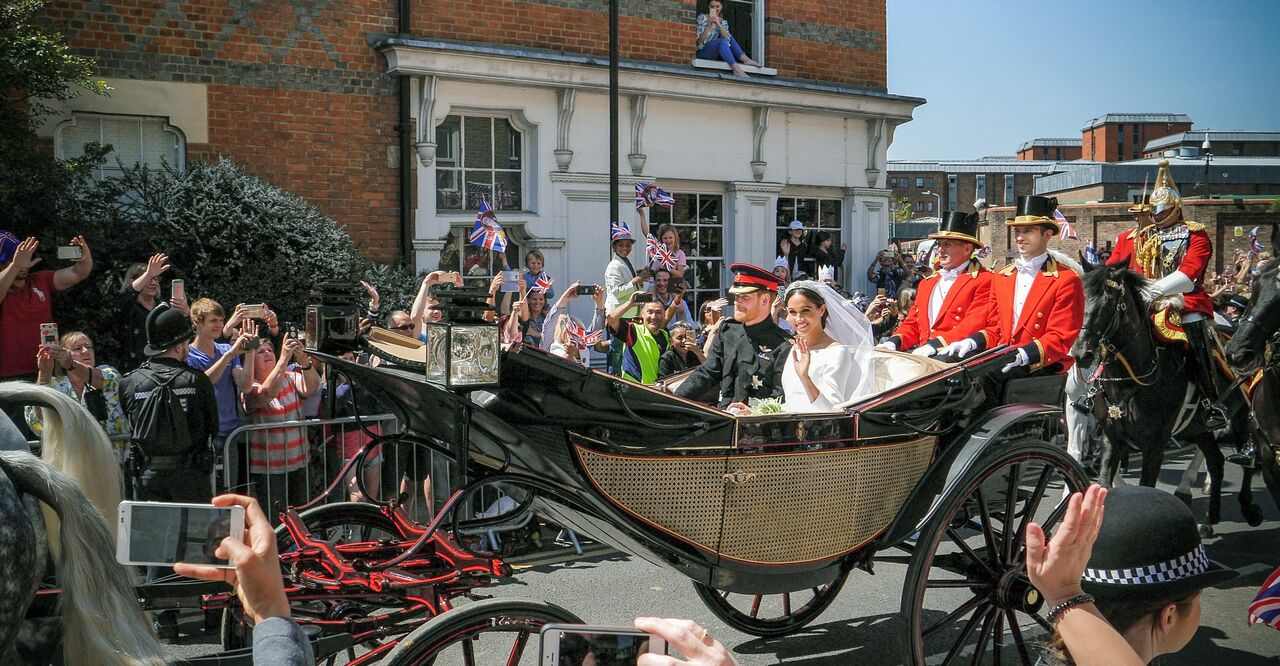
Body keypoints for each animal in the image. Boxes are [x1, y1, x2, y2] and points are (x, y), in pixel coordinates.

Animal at [1070, 265, 1259, 535]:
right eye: (1078, 299)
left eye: (1108, 301)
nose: (1080, 353)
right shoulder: (1112, 438)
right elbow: (1105, 484)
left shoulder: (1155, 446)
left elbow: (1147, 489)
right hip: (1197, 428)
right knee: (1216, 460)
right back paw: (1209, 518)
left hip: (1241, 414)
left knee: (1247, 457)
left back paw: (1248, 508)